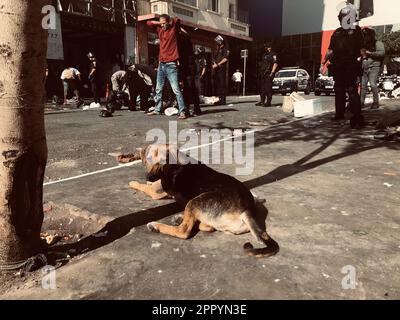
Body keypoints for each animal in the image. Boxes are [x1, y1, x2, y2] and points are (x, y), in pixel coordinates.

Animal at [130, 145, 280, 258]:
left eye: (163, 161)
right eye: (148, 159)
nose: (149, 176)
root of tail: (247, 209)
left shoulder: (155, 191)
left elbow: (141, 186)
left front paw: (133, 183)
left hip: (196, 201)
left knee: (183, 231)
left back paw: (156, 226)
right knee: (206, 226)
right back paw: (181, 218)